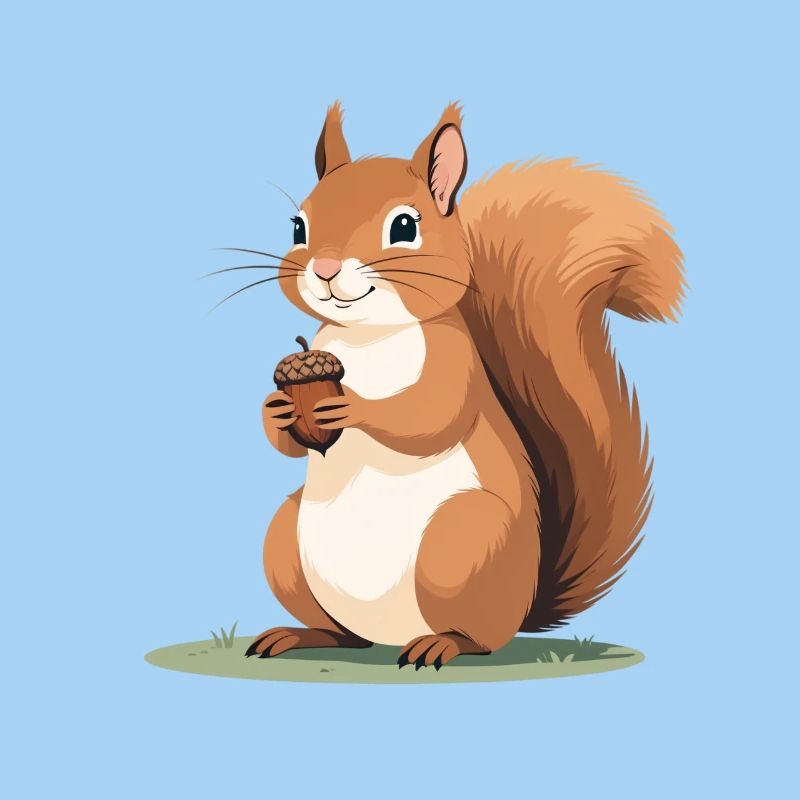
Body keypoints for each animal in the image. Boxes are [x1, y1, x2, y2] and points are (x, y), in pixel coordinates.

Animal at [247, 102, 684, 669]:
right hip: (287, 541)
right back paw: (300, 635)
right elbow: (287, 442)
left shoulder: (454, 362)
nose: (323, 268)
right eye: (298, 226)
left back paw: (442, 644)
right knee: (344, 635)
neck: (366, 334)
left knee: (481, 637)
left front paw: (354, 408)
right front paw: (277, 409)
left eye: (404, 226)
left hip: (461, 541)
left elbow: (430, 416)